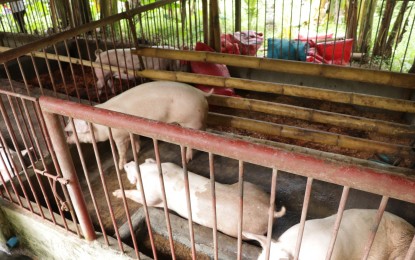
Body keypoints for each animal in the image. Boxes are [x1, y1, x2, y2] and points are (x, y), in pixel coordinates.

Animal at [64, 81, 210, 171]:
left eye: (73, 131)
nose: (67, 140)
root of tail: (200, 93)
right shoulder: (131, 129)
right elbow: (135, 139)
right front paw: (138, 149)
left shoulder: (119, 136)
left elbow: (122, 151)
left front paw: (120, 167)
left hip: (190, 122)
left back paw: (187, 159)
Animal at [113, 157, 286, 239]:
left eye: (130, 171)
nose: (128, 163)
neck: (150, 171)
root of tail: (267, 209)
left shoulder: (151, 195)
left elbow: (143, 199)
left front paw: (115, 193)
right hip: (249, 186)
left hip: (239, 230)